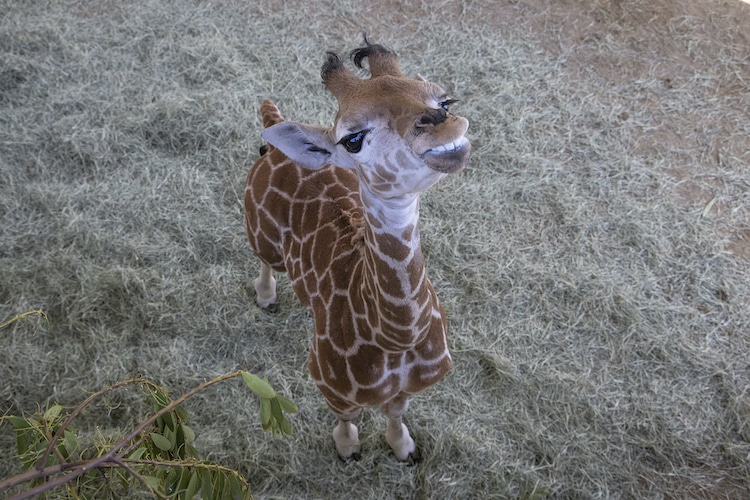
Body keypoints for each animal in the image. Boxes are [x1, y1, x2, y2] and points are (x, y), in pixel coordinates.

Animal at [247, 37, 470, 462]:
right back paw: (266, 299)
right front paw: (349, 449)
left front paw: (404, 449)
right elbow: (346, 418)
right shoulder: (330, 384)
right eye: (353, 139)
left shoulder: (411, 388)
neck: (396, 339)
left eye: (445, 101)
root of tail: (272, 132)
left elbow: (396, 412)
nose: (443, 125)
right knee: (265, 263)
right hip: (259, 234)